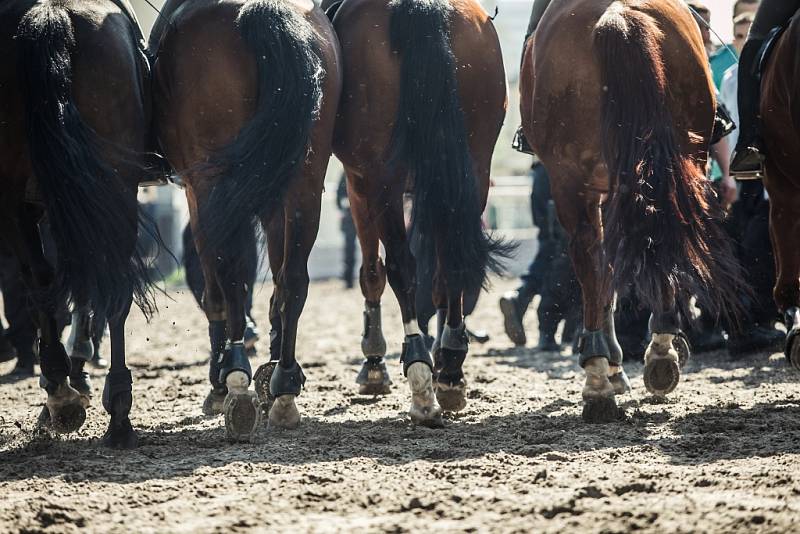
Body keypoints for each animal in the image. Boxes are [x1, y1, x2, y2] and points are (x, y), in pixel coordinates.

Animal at [0, 1, 158, 448]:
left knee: (43, 278)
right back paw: (117, 409)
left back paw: (61, 389)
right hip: (109, 187)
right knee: (106, 282)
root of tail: (54, 14)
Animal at [150, 0, 340, 444]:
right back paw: (284, 384)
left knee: (230, 280)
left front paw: (222, 380)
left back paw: (234, 378)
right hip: (306, 179)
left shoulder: (199, 193)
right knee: (293, 279)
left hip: (214, 181)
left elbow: (216, 286)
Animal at [330, 0, 506, 428]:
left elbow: (372, 271)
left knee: (401, 267)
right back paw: (451, 368)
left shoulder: (359, 183)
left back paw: (420, 375)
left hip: (383, 179)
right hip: (473, 169)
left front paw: (374, 362)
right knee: (451, 261)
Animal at [520, 0, 740, 422]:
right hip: (677, 162)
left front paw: (612, 366)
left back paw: (601, 376)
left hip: (576, 181)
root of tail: (618, 15)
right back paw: (657, 353)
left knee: (592, 259)